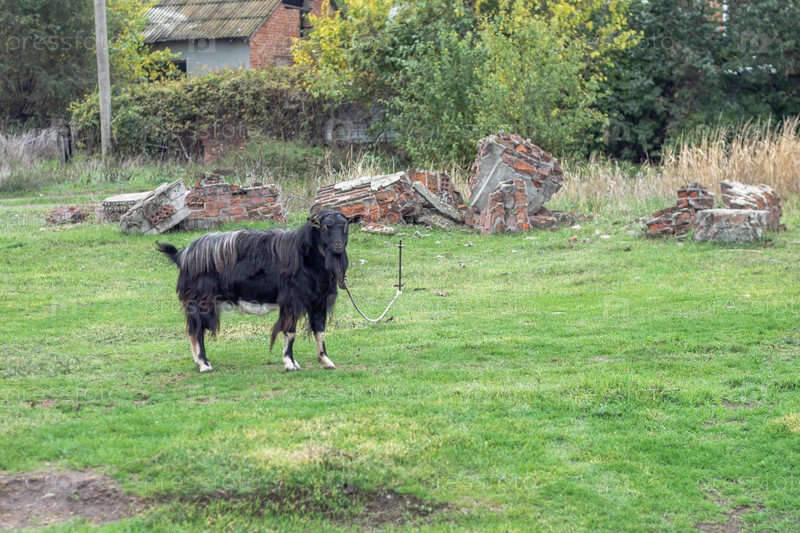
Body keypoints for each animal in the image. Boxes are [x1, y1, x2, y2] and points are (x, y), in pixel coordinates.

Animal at [157, 210, 361, 372]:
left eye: (345, 226)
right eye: (325, 226)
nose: (337, 246)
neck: (306, 258)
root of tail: (183, 255)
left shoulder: (319, 302)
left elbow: (320, 330)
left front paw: (326, 361)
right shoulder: (292, 301)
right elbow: (289, 332)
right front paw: (290, 363)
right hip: (200, 301)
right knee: (196, 331)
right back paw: (204, 365)